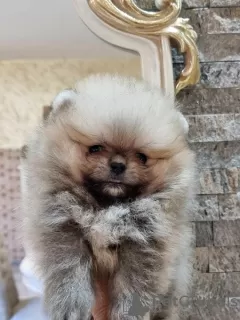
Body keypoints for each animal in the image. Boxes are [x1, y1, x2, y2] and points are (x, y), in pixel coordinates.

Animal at [22, 75, 195, 320]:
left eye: (142, 157)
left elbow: (133, 286)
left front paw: (128, 314)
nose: (118, 165)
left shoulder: (144, 240)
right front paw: (71, 307)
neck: (106, 207)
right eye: (95, 148)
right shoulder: (64, 226)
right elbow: (70, 270)